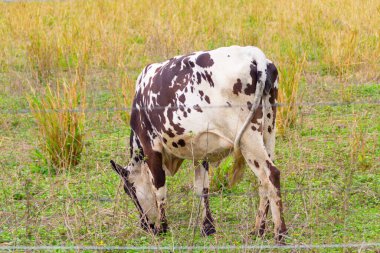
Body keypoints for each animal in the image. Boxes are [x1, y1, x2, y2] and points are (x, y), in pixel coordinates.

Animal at [111, 45, 286, 243]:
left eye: (128, 190)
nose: (145, 226)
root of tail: (253, 54)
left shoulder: (151, 146)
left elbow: (160, 188)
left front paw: (162, 227)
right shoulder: (201, 151)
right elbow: (202, 188)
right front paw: (207, 227)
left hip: (248, 137)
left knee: (271, 175)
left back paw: (280, 234)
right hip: (268, 132)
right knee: (263, 181)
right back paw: (258, 230)